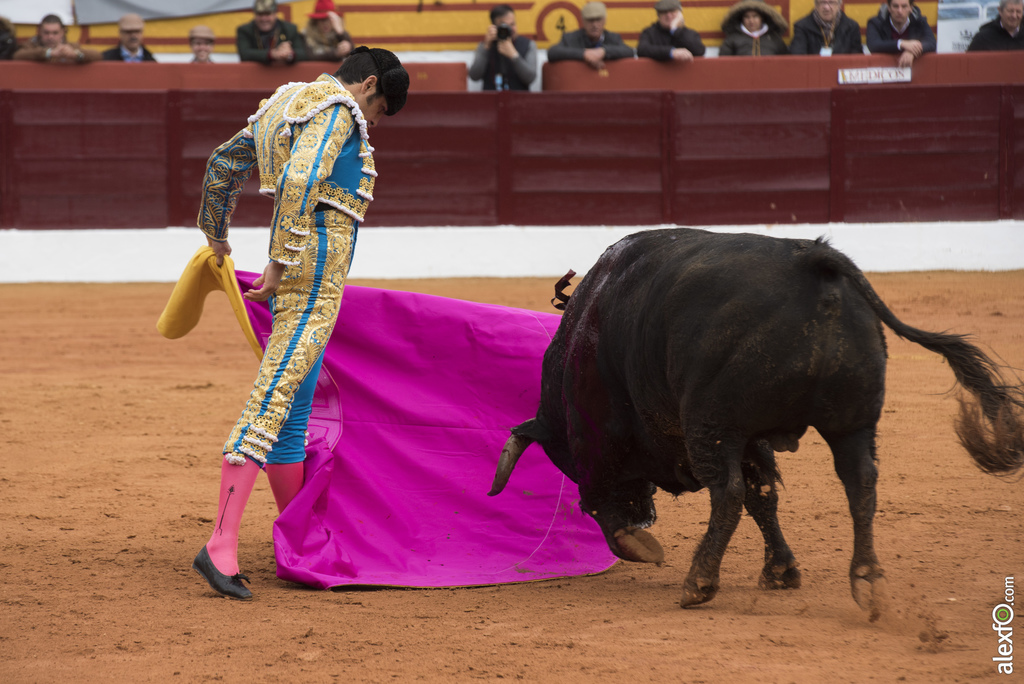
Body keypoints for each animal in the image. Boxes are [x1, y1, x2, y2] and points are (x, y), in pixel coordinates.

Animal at [489, 229, 1024, 618]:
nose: (645, 514)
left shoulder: (601, 435)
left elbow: (603, 500)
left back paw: (698, 582)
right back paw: (868, 584)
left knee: (726, 492)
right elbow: (764, 495)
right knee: (860, 485)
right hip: (852, 422)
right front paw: (782, 571)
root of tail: (815, 261)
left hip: (712, 423)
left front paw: (639, 545)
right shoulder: (751, 440)